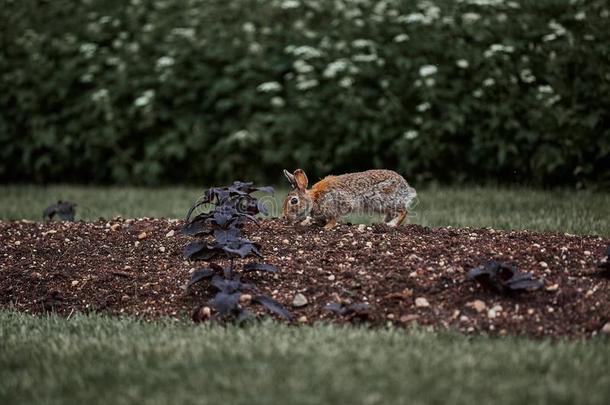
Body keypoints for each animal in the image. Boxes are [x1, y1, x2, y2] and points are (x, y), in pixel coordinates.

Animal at [282, 168, 416, 229]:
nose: (285, 217)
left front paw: (327, 227)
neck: (313, 200)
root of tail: (405, 187)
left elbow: (334, 218)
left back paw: (392, 225)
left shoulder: (337, 204)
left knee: (403, 211)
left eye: (294, 201)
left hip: (386, 201)